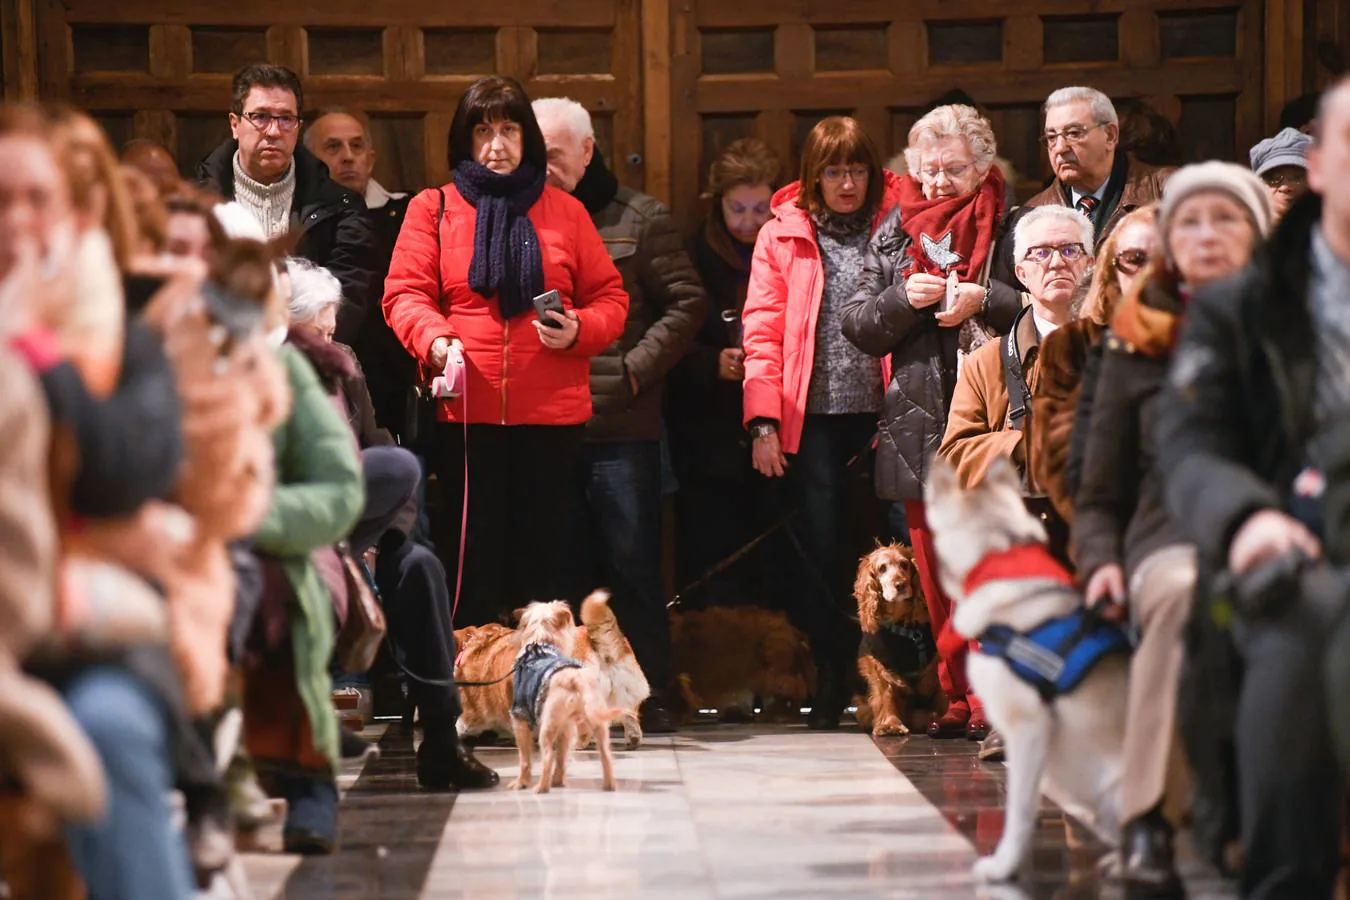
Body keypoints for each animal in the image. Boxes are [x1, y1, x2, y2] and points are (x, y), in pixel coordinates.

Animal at [507, 601, 623, 793]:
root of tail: (576, 679)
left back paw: (541, 788)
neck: (541, 644)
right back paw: (609, 785)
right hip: (595, 724)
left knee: (547, 757)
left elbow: (525, 759)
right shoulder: (566, 728)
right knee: (605, 756)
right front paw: (558, 781)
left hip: (547, 726)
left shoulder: (520, 719)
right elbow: (561, 757)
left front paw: (521, 782)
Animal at [853, 542, 950, 739]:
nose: (900, 584)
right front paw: (889, 724)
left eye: (904, 565)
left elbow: (941, 691)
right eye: (882, 568)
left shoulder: (933, 664)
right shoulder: (880, 664)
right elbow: (885, 692)